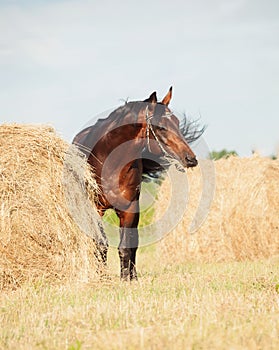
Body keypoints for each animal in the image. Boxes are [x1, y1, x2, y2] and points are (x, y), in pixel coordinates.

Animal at [73, 88, 201, 282]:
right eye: (161, 127)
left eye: (178, 123)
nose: (191, 159)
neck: (110, 164)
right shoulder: (95, 208)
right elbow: (100, 243)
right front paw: (102, 277)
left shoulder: (130, 209)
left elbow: (127, 246)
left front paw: (127, 278)